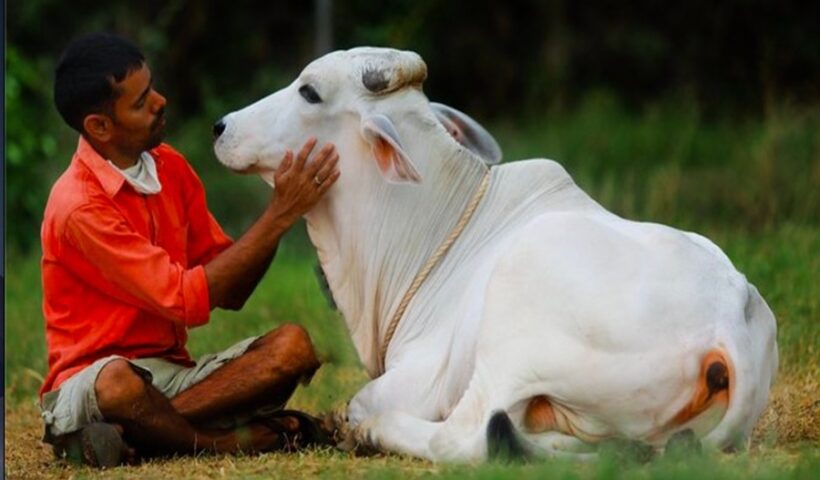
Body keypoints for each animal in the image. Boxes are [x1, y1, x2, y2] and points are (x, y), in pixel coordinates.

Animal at [212, 47, 778, 462]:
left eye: (310, 91)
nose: (221, 127)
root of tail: (730, 320)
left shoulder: (425, 377)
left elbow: (361, 400)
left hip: (515, 323)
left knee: (466, 435)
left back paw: (377, 432)